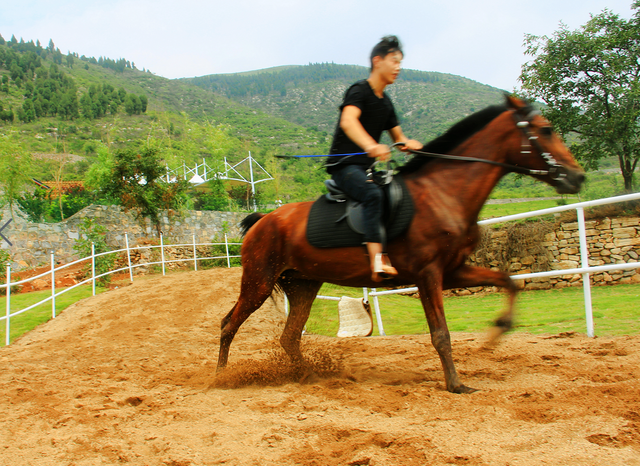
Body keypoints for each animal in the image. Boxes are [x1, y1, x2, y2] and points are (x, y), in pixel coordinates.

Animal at [216, 94, 584, 394]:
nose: (577, 177)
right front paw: (456, 384)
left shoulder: (453, 271)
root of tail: (263, 220)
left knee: (290, 337)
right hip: (259, 283)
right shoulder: (428, 275)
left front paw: (496, 334)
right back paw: (221, 378)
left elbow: (508, 282)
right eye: (546, 129)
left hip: (303, 285)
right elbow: (441, 334)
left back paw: (309, 377)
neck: (443, 193)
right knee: (228, 325)